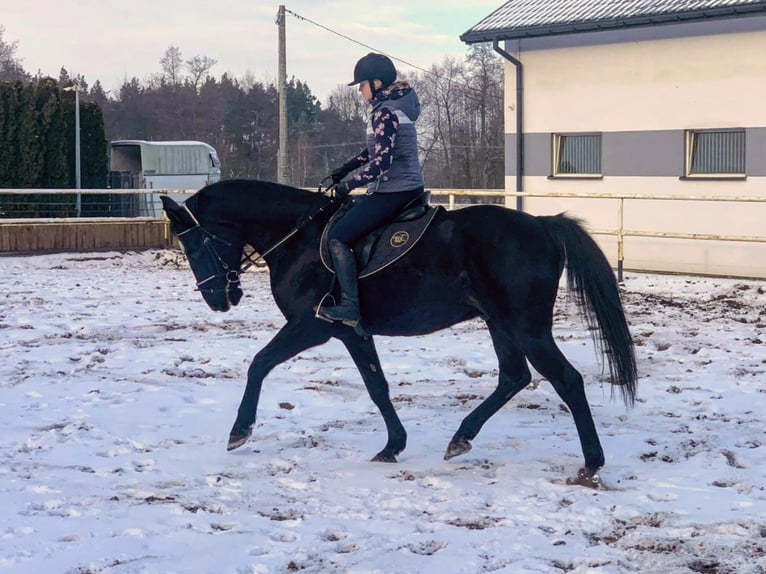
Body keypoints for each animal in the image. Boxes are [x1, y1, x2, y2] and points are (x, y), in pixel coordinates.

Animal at [160, 179, 637, 486]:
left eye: (193, 243)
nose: (218, 300)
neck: (297, 237)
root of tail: (542, 224)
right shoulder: (352, 333)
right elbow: (378, 387)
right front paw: (393, 445)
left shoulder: (311, 326)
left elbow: (259, 363)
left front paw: (239, 431)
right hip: (500, 323)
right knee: (514, 377)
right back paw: (461, 438)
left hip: (525, 326)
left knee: (566, 380)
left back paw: (591, 463)